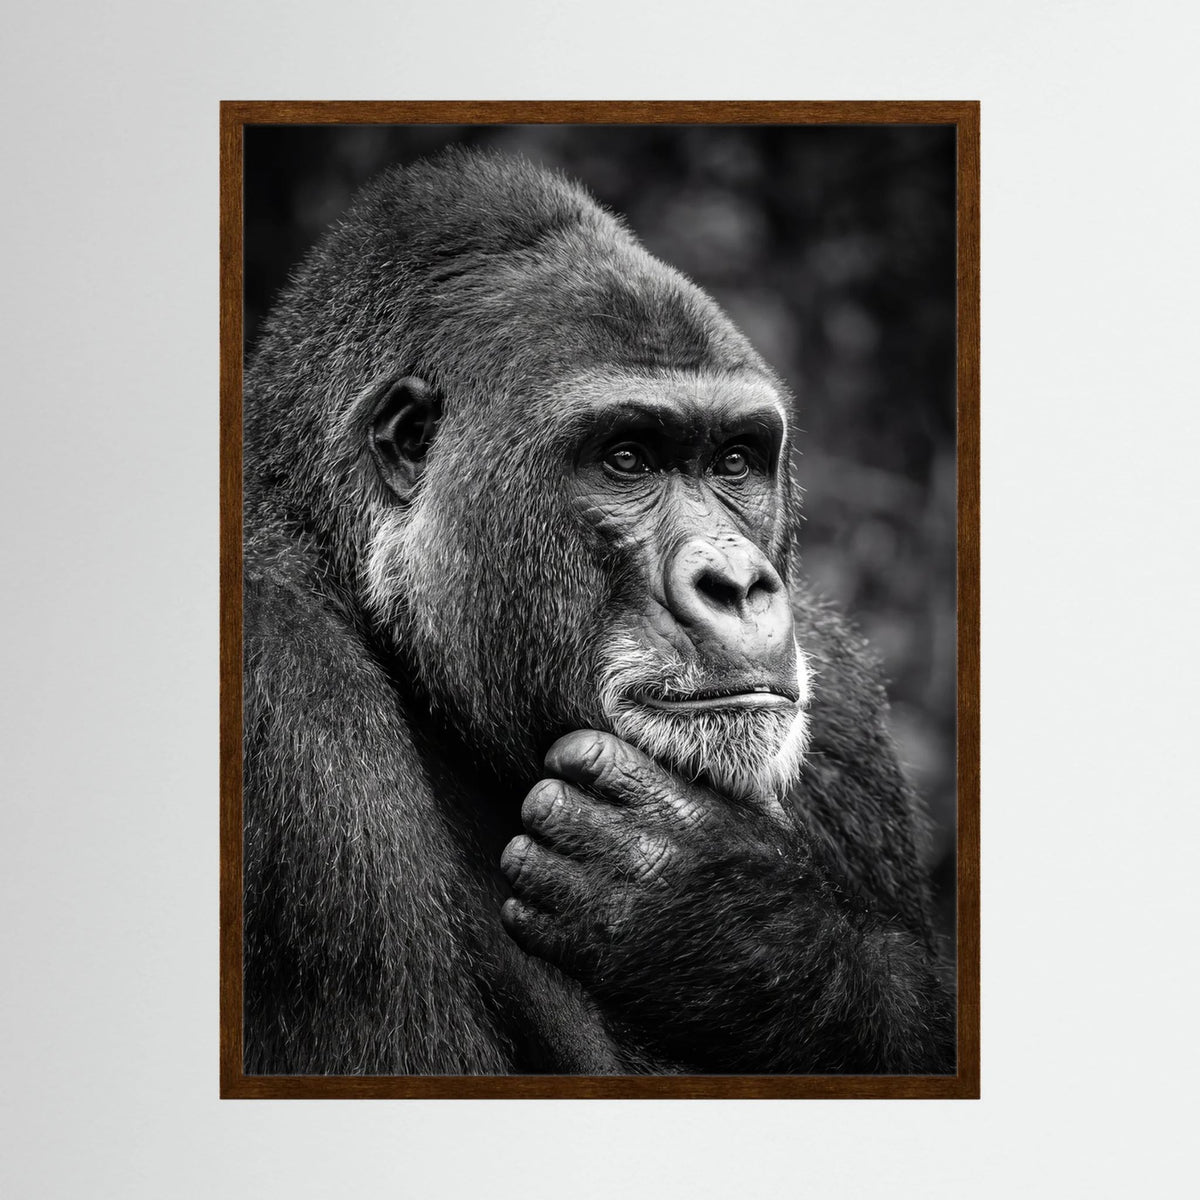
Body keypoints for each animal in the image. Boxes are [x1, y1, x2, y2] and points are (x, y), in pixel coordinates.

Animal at [241, 147, 955, 1075]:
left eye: (735, 460)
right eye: (627, 459)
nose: (738, 583)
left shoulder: (842, 702)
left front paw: (731, 918)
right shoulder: (281, 692)